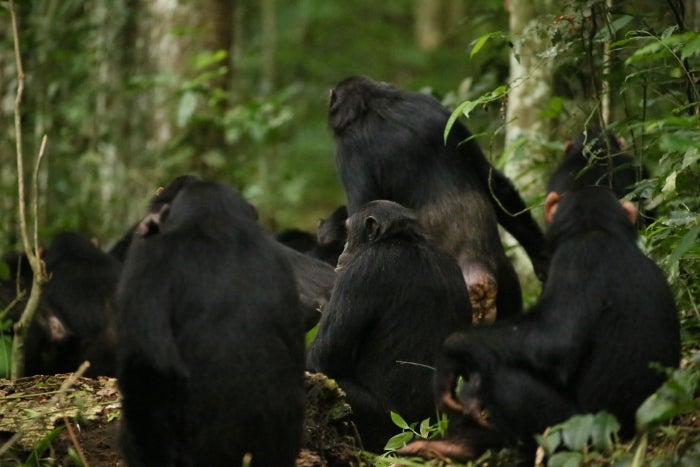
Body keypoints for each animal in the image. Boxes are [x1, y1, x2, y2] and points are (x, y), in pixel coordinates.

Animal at [304, 200, 470, 454]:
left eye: (348, 234)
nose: (342, 251)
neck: (403, 239)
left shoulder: (362, 269)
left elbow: (323, 357)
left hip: (382, 426)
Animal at [328, 76, 548, 326]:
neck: (375, 105)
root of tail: (478, 272)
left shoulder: (349, 152)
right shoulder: (448, 117)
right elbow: (494, 183)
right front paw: (542, 257)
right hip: (508, 283)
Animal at [400, 186, 680, 460]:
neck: (601, 230)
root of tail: (630, 435)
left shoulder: (577, 259)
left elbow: (553, 341)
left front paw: (452, 354)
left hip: (576, 430)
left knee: (505, 378)